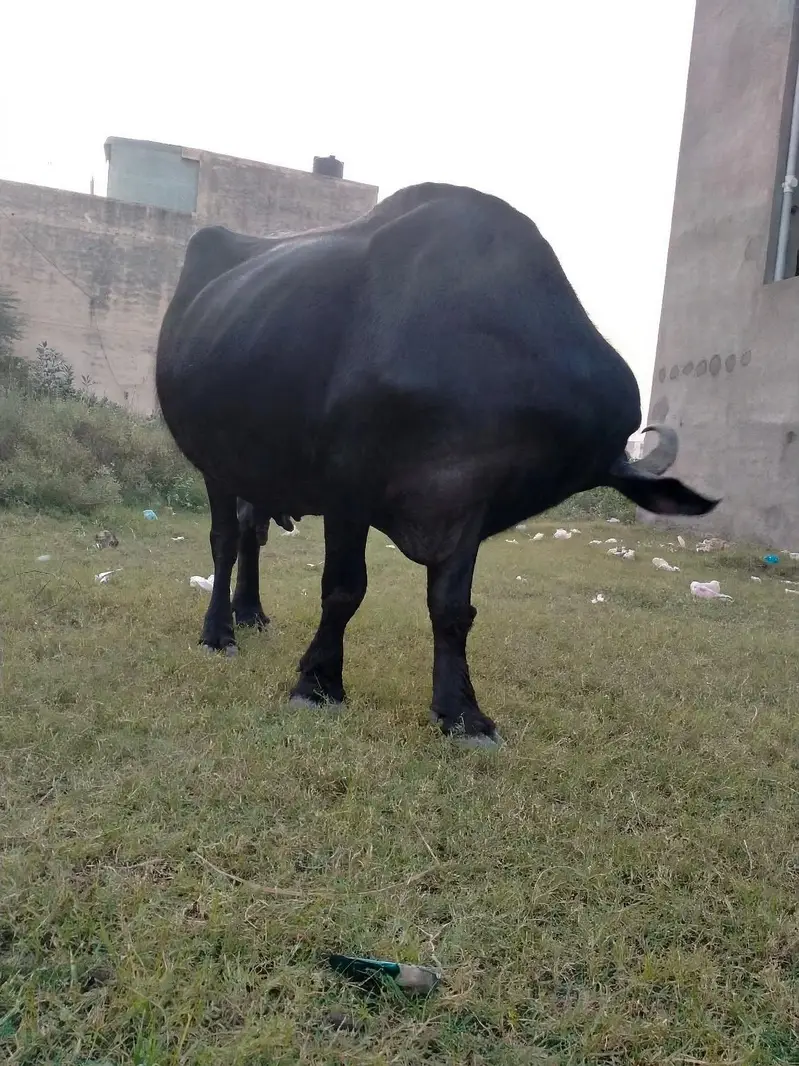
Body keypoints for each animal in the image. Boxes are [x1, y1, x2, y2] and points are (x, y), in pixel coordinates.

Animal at [155, 182, 718, 748]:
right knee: (226, 541)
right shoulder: (348, 490)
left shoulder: (466, 503)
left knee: (252, 531)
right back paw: (219, 631)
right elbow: (343, 589)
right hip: (215, 465)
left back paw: (250, 613)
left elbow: (452, 609)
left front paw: (462, 713)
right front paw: (317, 683)